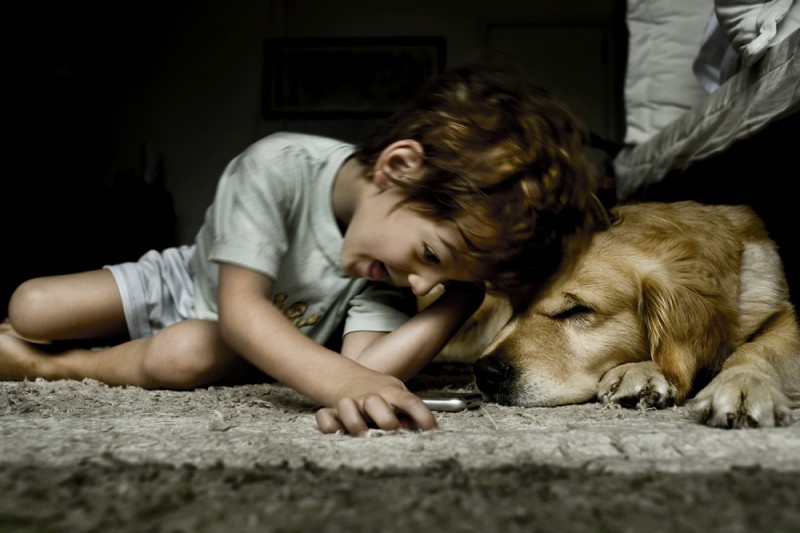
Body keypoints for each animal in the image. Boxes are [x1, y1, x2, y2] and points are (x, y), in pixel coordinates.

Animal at [450, 200, 800, 428]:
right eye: (515, 305)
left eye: (576, 310)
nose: (485, 373)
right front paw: (639, 372)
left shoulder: (780, 312)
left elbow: (760, 348)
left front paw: (743, 385)